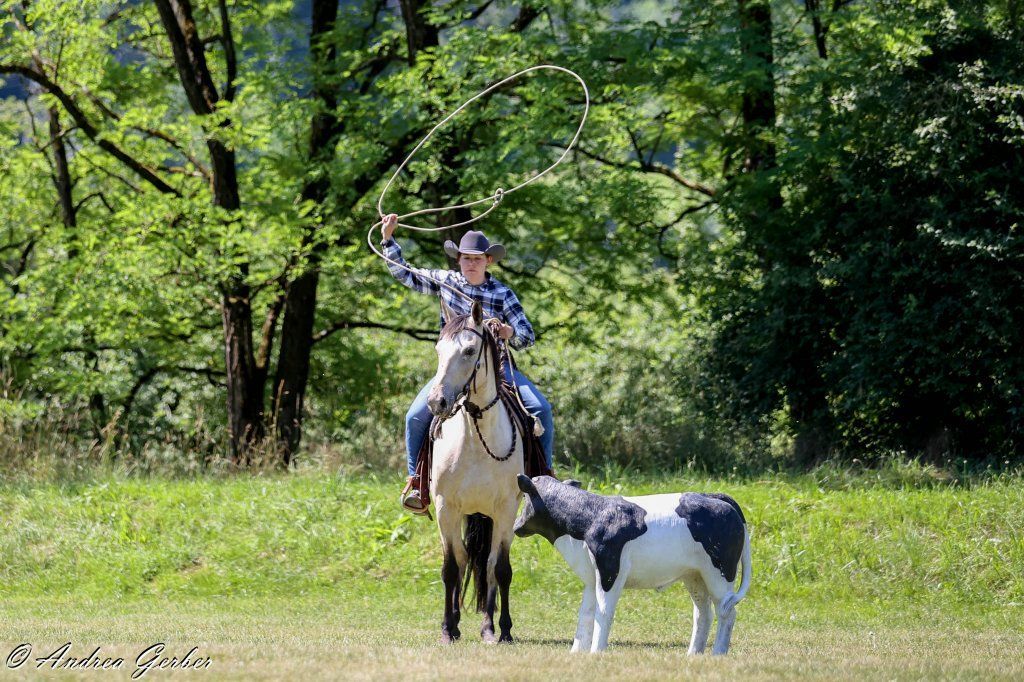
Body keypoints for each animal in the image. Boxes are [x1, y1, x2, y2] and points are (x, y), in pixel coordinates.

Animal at [426, 300, 524, 645]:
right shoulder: (445, 508)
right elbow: (451, 568)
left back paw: (488, 626)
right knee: (465, 559)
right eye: (438, 350)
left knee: (488, 564)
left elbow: (501, 568)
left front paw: (503, 629)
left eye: (469, 351)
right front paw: (447, 628)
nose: (436, 401)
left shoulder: (506, 510)